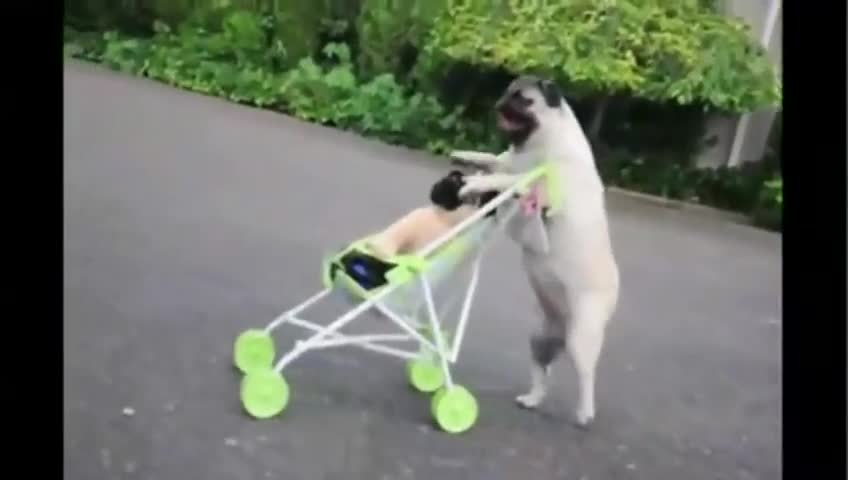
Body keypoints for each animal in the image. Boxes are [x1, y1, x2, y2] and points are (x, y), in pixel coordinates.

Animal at [454, 76, 620, 428]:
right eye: (507, 91)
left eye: (522, 100)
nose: (498, 104)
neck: (538, 145)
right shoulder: (509, 161)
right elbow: (493, 159)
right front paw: (466, 157)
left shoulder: (531, 184)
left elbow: (505, 177)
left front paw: (475, 183)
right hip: (539, 337)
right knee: (543, 370)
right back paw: (531, 399)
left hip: (582, 337)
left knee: (586, 376)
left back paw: (584, 413)